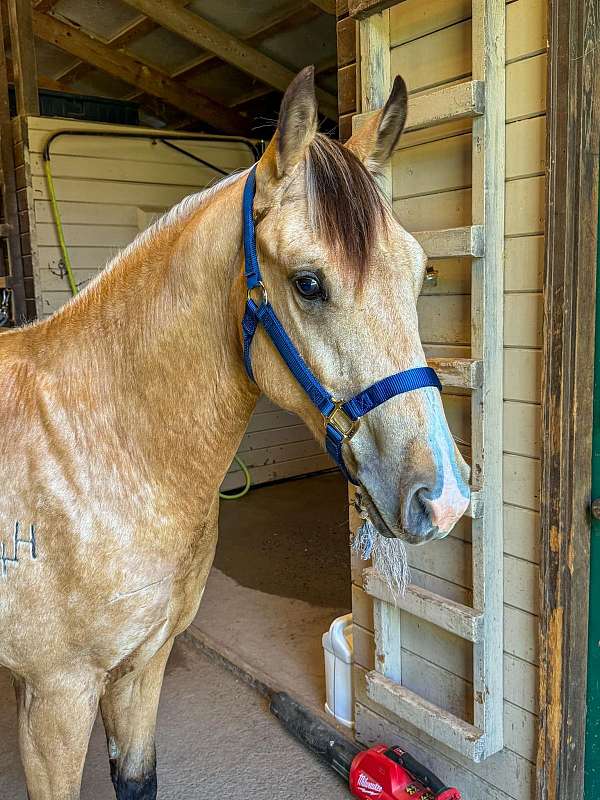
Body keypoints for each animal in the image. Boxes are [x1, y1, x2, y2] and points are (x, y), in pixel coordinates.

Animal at [0, 70, 468, 800]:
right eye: (308, 283)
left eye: (419, 272)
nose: (441, 497)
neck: (92, 455)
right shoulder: (54, 701)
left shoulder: (145, 666)